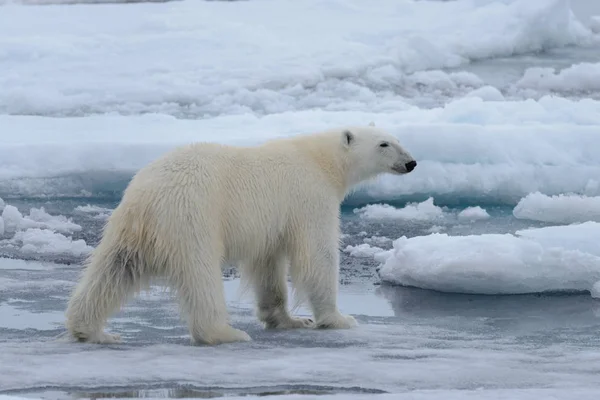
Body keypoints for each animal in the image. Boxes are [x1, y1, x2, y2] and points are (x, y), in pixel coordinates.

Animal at [63, 126, 414, 346]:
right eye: (384, 144)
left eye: (397, 138)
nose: (411, 162)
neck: (320, 160)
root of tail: (146, 199)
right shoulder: (308, 198)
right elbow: (317, 255)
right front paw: (338, 318)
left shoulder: (270, 226)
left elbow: (268, 266)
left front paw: (289, 320)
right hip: (193, 218)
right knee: (201, 276)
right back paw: (225, 333)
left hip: (127, 229)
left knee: (113, 270)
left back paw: (92, 331)